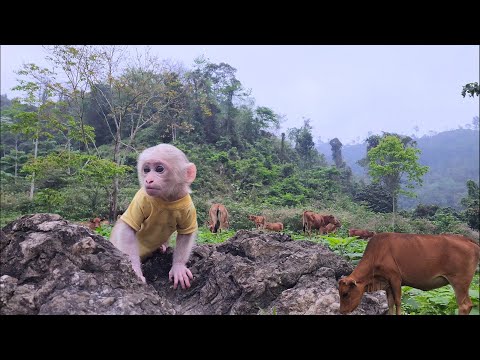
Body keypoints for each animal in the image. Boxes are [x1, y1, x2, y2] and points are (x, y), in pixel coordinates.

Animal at [338, 233, 480, 316]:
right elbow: (390, 303)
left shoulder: (395, 278)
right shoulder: (387, 284)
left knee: (464, 305)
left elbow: (398, 302)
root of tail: (468, 240)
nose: (342, 311)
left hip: (460, 282)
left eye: (345, 294)